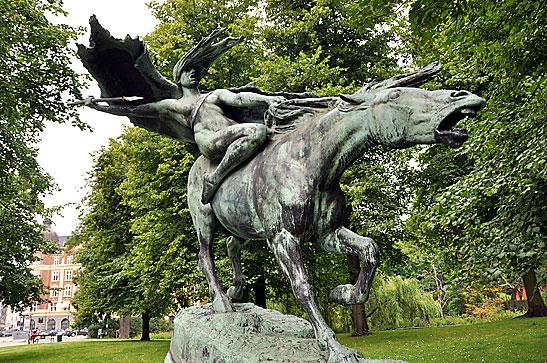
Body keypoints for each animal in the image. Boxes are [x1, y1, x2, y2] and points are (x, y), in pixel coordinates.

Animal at [187, 64, 484, 362]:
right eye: (395, 94)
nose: (464, 96)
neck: (308, 164)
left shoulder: (326, 235)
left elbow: (370, 249)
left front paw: (342, 294)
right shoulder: (283, 238)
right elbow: (303, 286)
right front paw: (335, 347)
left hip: (244, 226)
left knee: (231, 244)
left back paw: (235, 290)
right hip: (205, 222)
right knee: (205, 256)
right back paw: (222, 300)